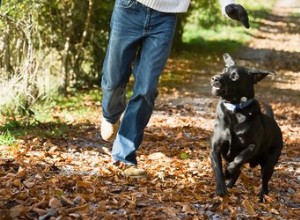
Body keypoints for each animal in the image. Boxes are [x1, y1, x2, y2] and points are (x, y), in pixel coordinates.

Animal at [210, 53, 282, 201]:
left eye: (235, 76)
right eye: (223, 70)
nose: (215, 78)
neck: (234, 110)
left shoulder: (252, 146)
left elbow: (239, 158)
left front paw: (229, 170)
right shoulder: (215, 149)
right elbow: (218, 168)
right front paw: (221, 188)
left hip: (270, 163)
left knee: (265, 182)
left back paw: (262, 196)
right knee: (239, 172)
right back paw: (230, 184)